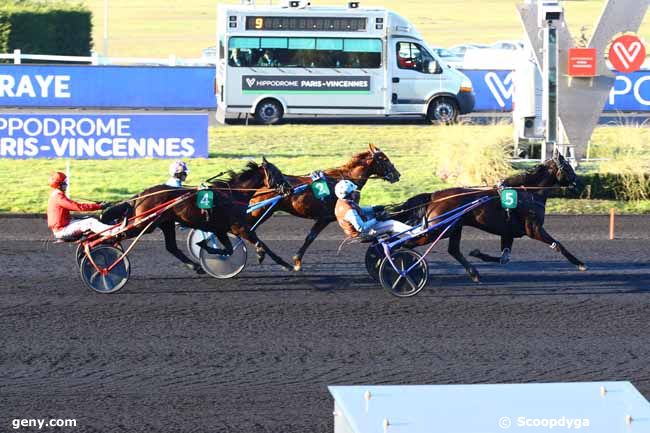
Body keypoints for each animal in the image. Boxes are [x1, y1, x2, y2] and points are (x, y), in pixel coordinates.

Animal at [114, 159, 292, 274]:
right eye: (278, 173)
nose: (289, 188)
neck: (233, 194)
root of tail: (141, 195)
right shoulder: (239, 227)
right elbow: (261, 244)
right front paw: (281, 262)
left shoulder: (222, 229)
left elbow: (229, 249)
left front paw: (204, 246)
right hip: (144, 224)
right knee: (118, 235)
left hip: (166, 223)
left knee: (171, 247)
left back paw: (196, 267)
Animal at [248, 143, 400, 270]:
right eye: (384, 159)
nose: (397, 175)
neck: (344, 180)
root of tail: (261, 186)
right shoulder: (325, 218)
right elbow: (310, 237)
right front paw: (297, 261)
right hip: (260, 212)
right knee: (248, 230)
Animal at [388, 151, 584, 284]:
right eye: (568, 167)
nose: (580, 184)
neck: (528, 193)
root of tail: (434, 196)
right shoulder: (533, 229)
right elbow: (557, 245)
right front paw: (580, 263)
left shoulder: (508, 233)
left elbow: (504, 258)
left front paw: (477, 253)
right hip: (436, 230)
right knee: (405, 243)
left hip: (454, 227)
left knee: (453, 250)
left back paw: (474, 273)